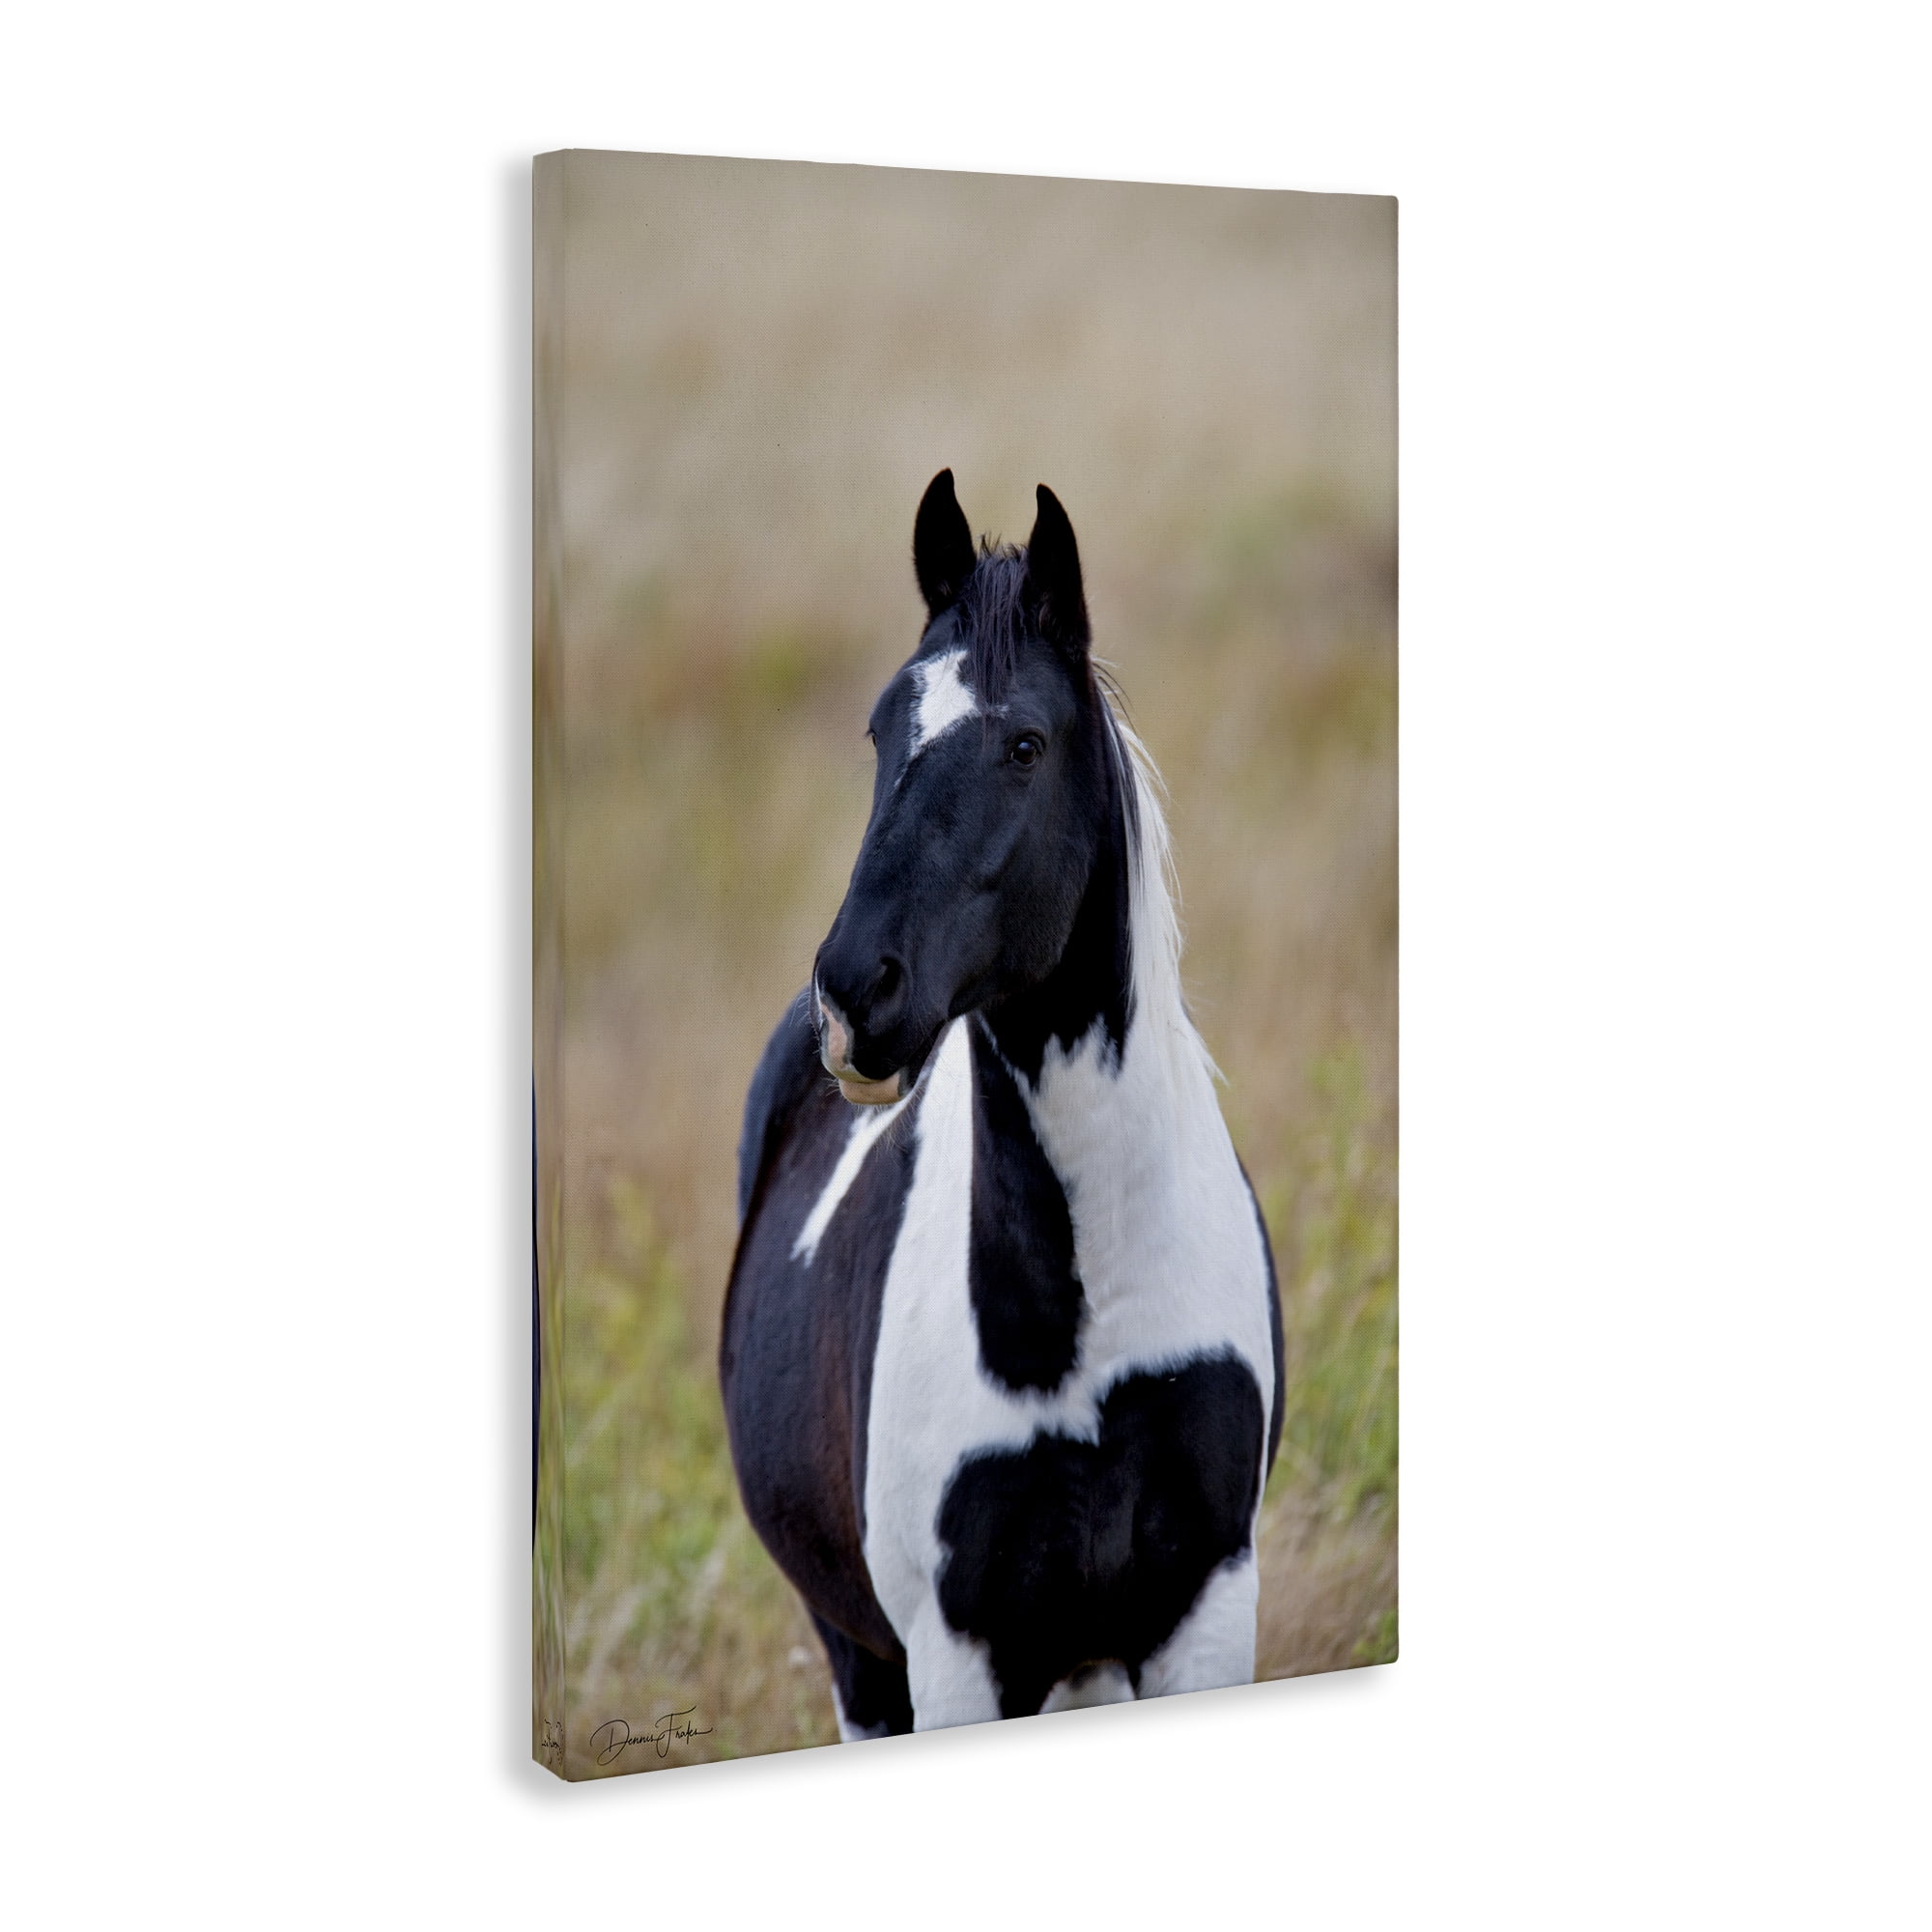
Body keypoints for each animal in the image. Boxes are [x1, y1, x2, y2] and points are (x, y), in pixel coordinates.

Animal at [719, 470, 1282, 1738]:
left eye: (1024, 742)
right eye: (882, 730)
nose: (852, 993)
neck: (1083, 1324)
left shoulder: (1202, 1612)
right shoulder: (958, 1657)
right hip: (862, 1660)